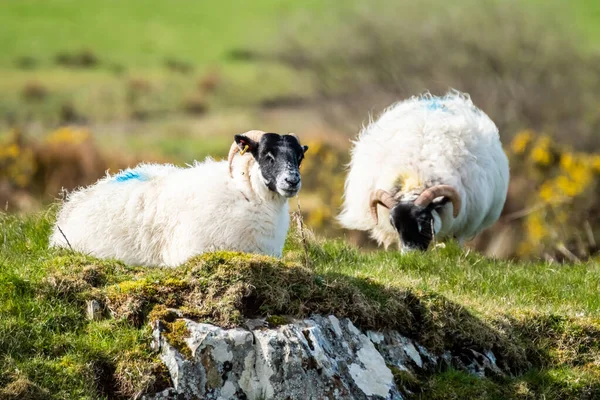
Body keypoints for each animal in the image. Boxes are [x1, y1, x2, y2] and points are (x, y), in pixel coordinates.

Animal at [340, 92, 508, 252]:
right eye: (394, 224)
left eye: (424, 220)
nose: (411, 253)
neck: (415, 177)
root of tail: (437, 99)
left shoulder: (460, 228)